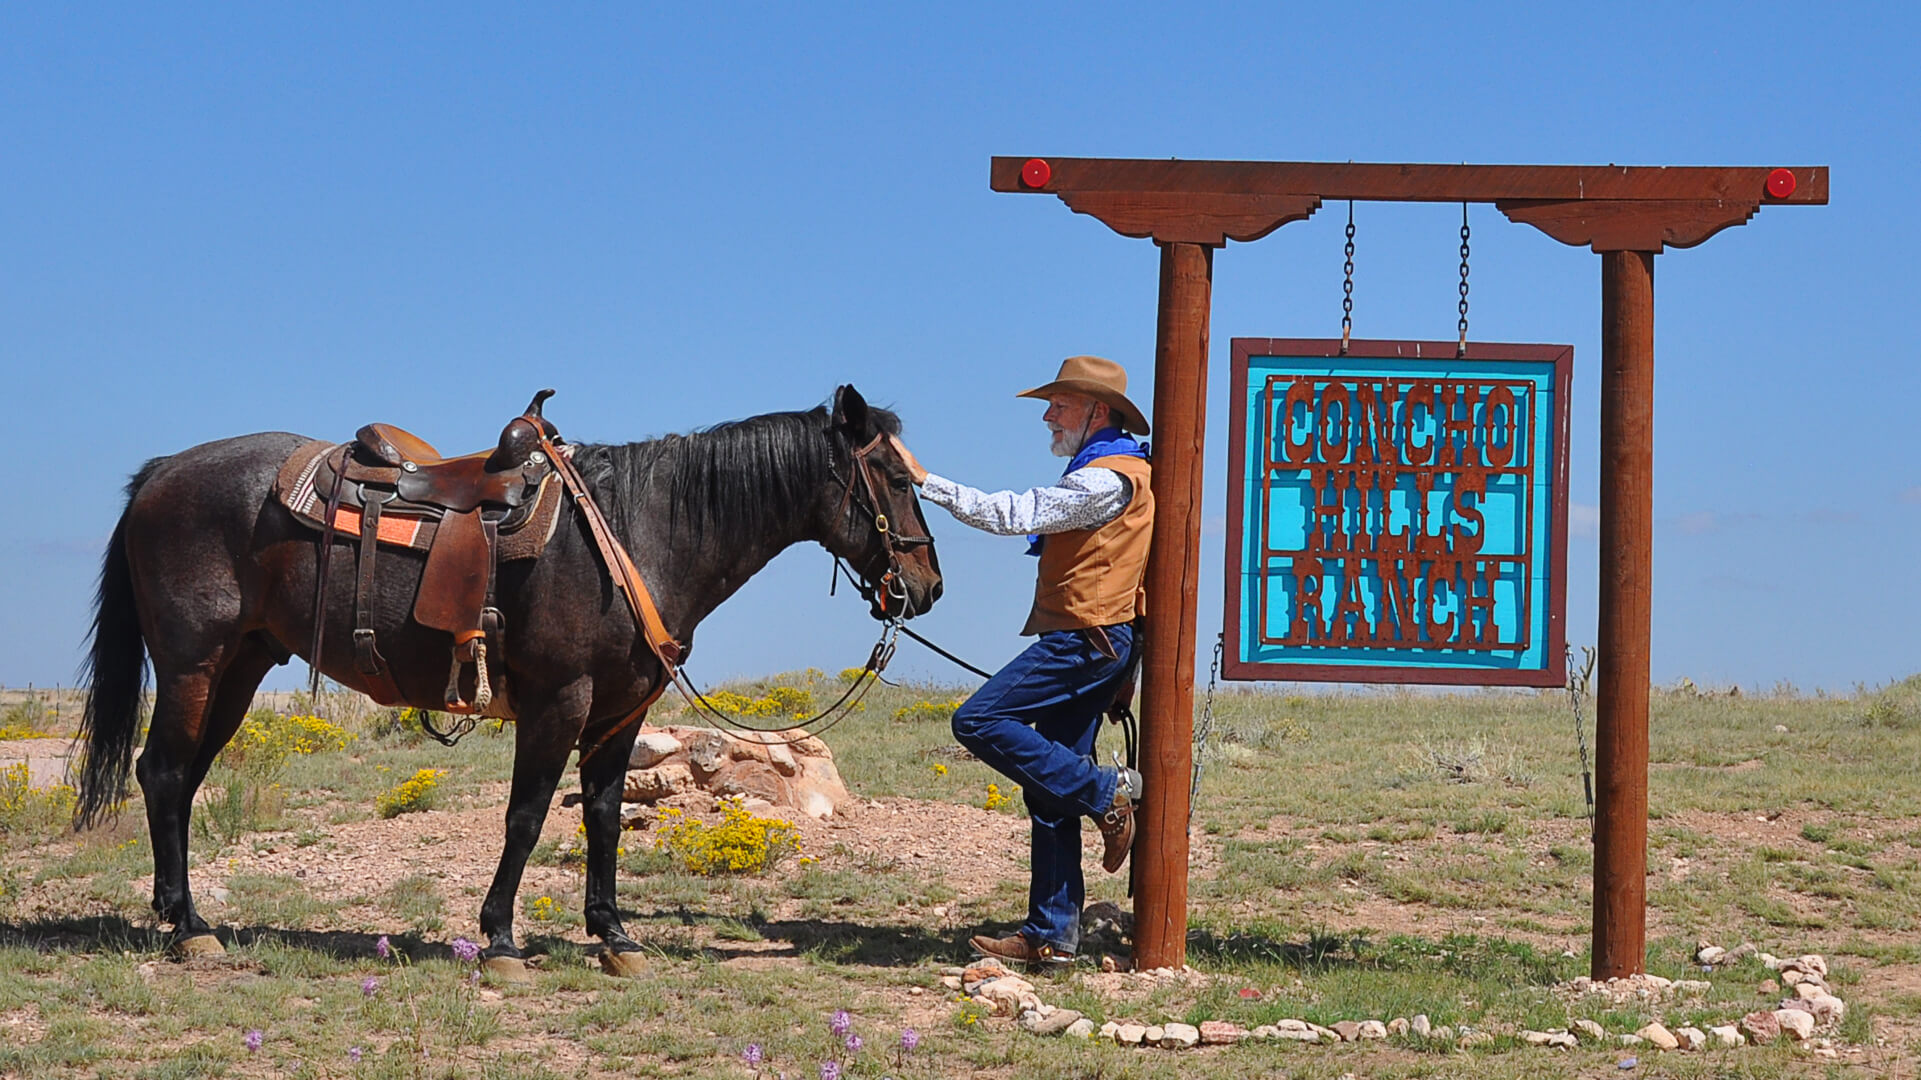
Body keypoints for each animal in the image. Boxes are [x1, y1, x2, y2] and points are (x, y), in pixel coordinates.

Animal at [71, 385, 941, 967]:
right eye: (898, 481)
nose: (926, 587)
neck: (635, 531)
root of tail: (160, 474)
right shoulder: (560, 701)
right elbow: (525, 818)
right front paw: (499, 939)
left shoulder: (623, 710)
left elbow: (602, 817)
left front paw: (614, 935)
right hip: (194, 663)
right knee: (164, 772)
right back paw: (190, 931)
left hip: (241, 666)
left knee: (182, 780)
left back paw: (177, 913)